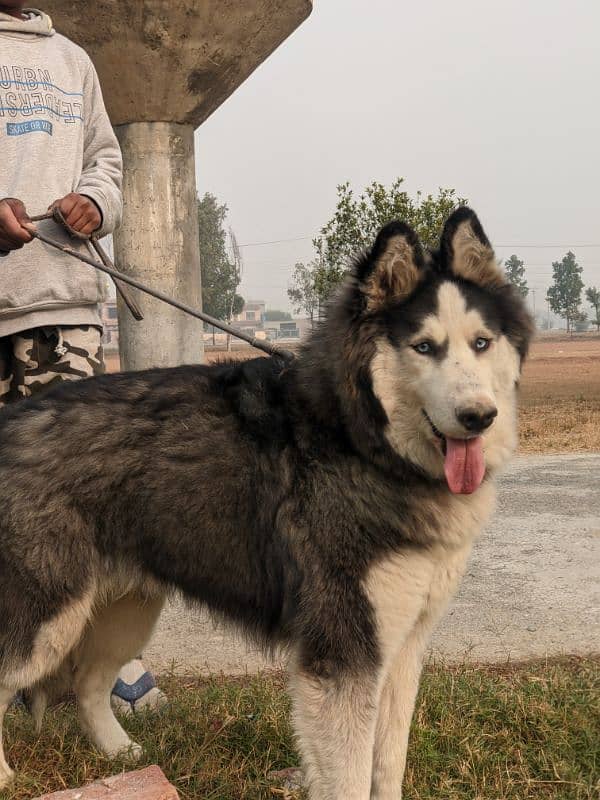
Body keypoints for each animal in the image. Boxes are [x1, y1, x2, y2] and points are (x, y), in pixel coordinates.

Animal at [1, 209, 536, 796]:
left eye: (481, 343)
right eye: (424, 347)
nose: (478, 417)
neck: (360, 440)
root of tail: (10, 422)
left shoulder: (401, 647)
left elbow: (387, 766)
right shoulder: (342, 652)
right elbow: (350, 777)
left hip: (124, 610)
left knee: (89, 683)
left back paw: (121, 754)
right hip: (45, 616)